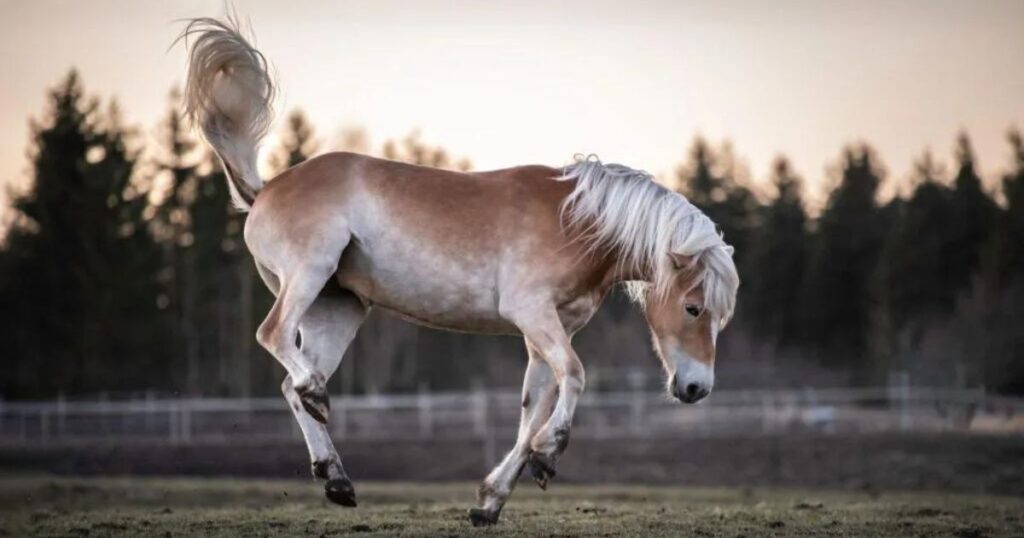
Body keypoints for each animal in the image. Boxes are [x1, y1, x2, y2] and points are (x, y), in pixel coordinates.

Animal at [176, 15, 737, 524]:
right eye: (693, 308)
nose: (697, 389)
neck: (575, 220)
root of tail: (264, 189)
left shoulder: (546, 331)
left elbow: (532, 409)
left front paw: (491, 501)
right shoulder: (532, 314)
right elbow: (574, 377)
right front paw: (549, 454)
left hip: (339, 308)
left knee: (292, 388)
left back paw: (336, 478)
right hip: (309, 274)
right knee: (275, 339)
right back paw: (319, 403)